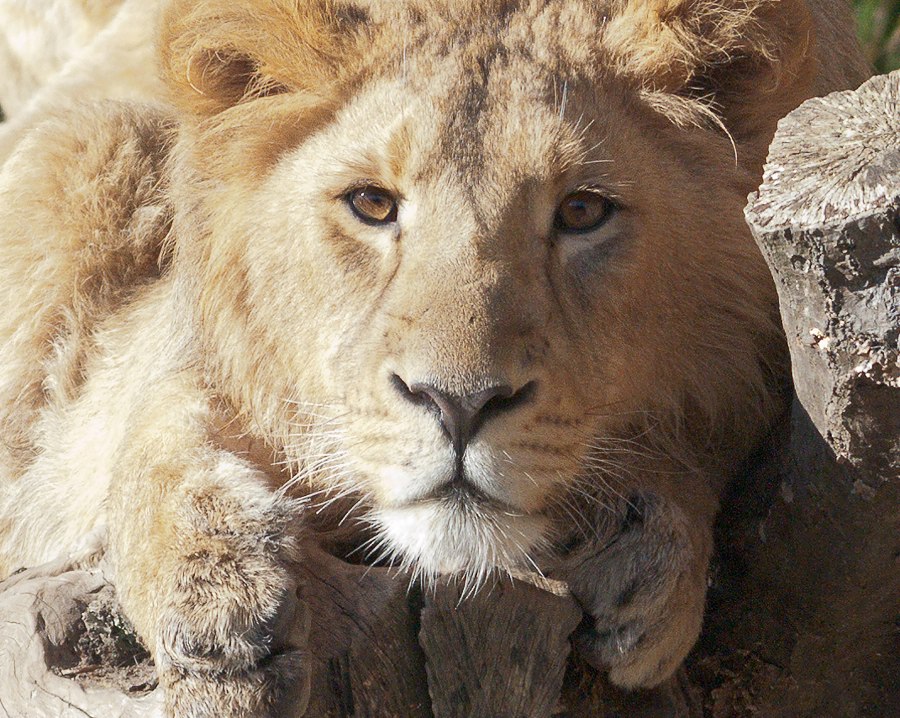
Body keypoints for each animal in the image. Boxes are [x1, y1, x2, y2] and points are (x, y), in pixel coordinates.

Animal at [0, 0, 868, 715]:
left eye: (583, 211)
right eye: (372, 204)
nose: (459, 405)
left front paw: (653, 545)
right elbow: (150, 420)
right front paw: (216, 596)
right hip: (89, 142)